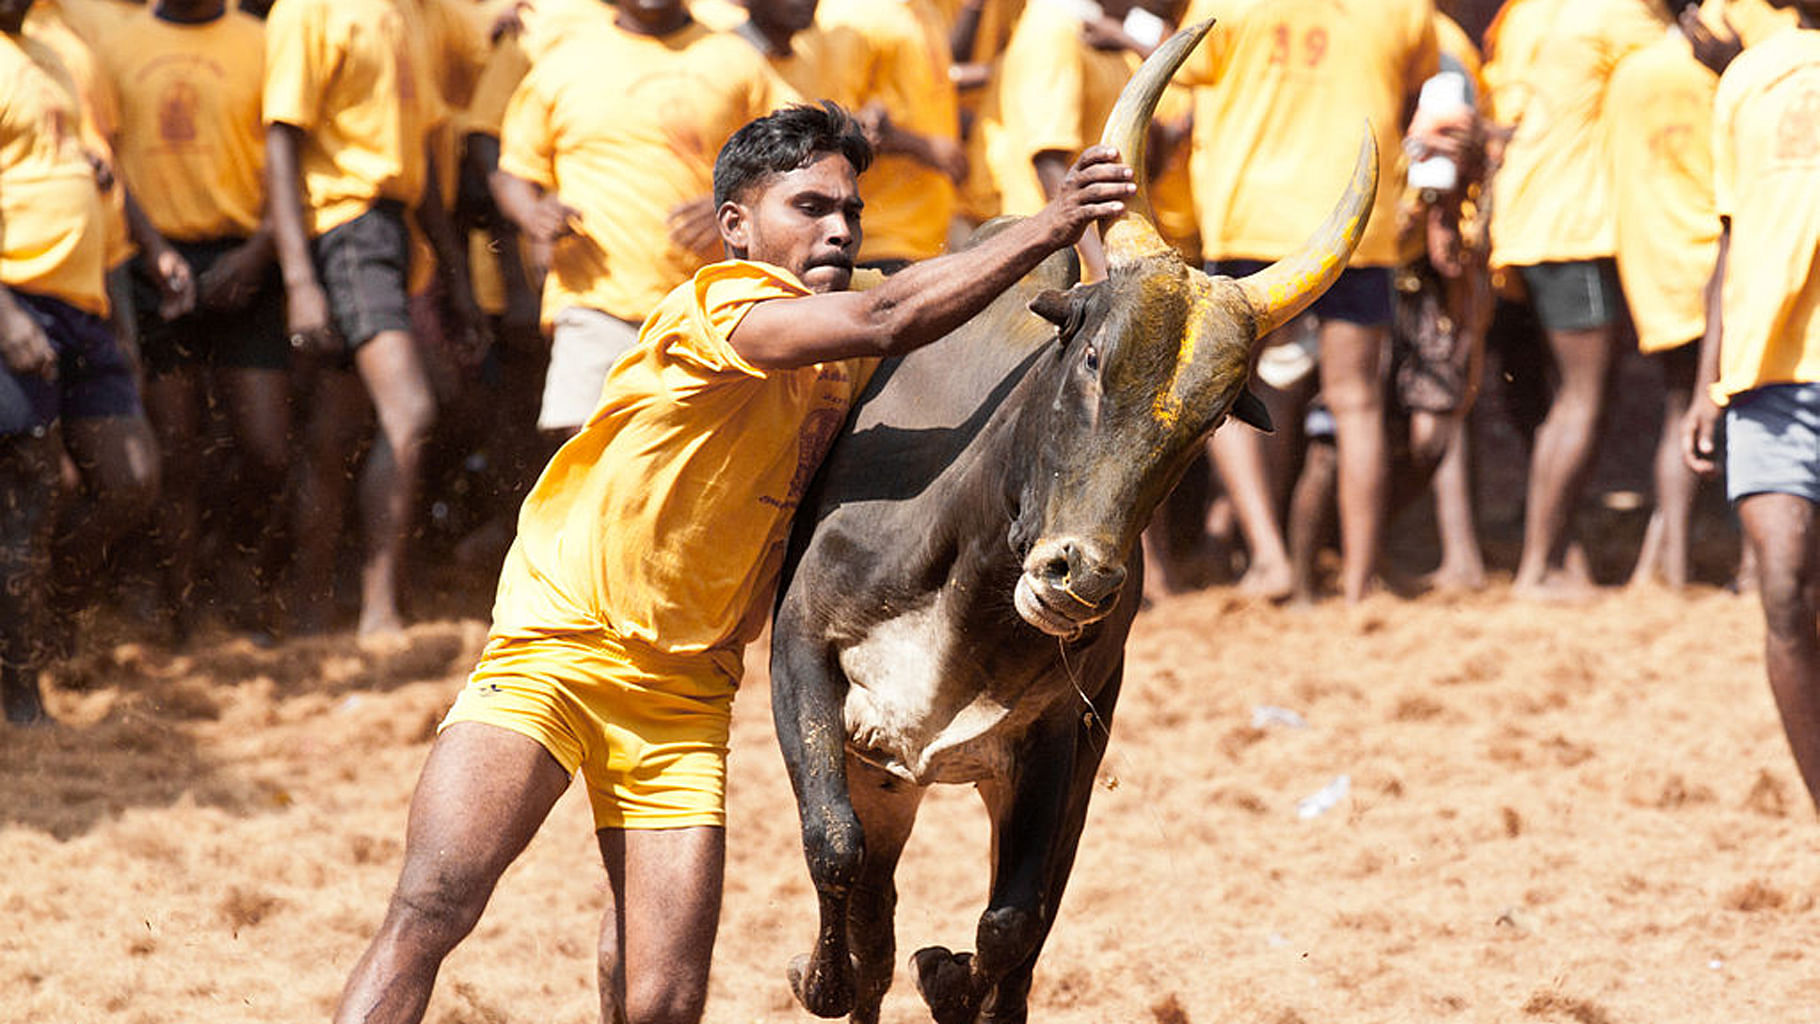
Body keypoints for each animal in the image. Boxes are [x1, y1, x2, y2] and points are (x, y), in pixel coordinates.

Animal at [760, 24, 1368, 1024]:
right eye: (1090, 357)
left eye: (1214, 417)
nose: (1078, 578)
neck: (968, 581)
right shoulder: (803, 656)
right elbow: (833, 847)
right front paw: (820, 977)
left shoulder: (1059, 744)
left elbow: (1011, 925)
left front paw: (951, 977)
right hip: (885, 771)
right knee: (874, 908)